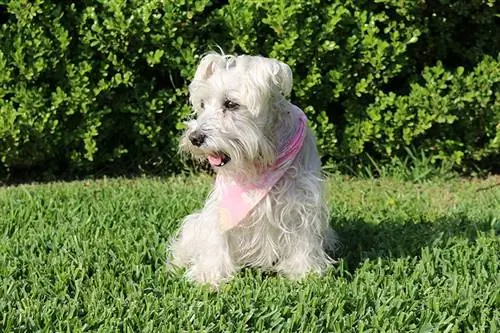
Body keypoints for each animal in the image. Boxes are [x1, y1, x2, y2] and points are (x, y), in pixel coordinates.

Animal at [168, 52, 336, 286]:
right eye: (202, 104)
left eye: (230, 104)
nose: (194, 138)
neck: (262, 158)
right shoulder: (222, 208)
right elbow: (217, 239)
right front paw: (209, 275)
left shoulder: (302, 202)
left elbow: (303, 238)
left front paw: (304, 272)